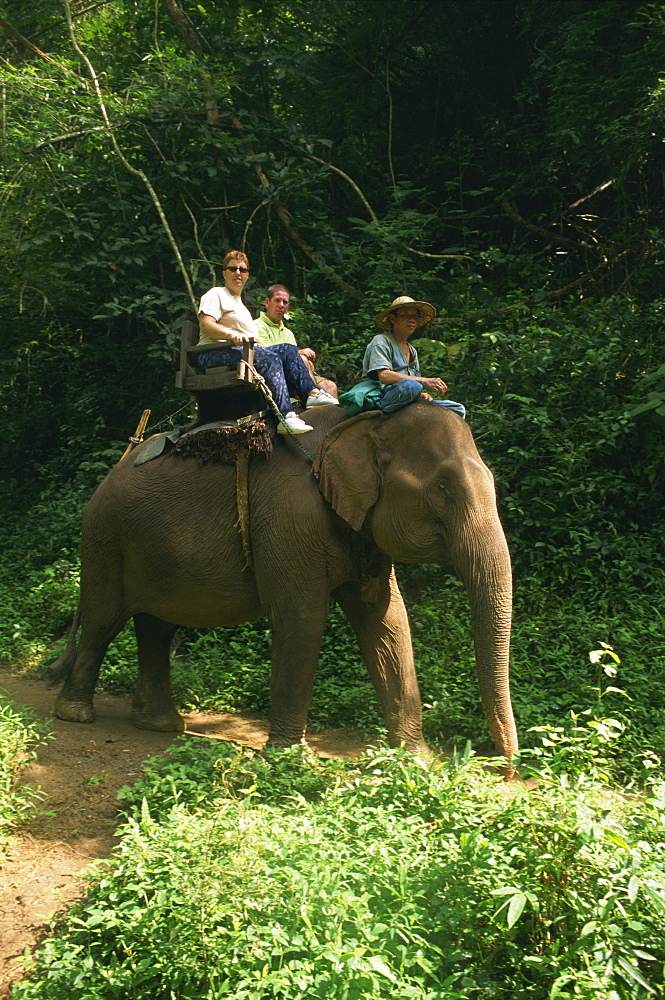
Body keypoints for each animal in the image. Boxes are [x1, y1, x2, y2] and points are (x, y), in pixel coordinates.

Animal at [52, 402, 520, 760]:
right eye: (442, 487)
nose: (507, 768)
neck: (362, 423)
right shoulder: (288, 517)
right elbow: (303, 619)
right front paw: (287, 759)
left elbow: (387, 622)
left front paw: (414, 760)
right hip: (104, 538)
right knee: (102, 620)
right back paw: (76, 715)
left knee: (156, 627)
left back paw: (160, 725)